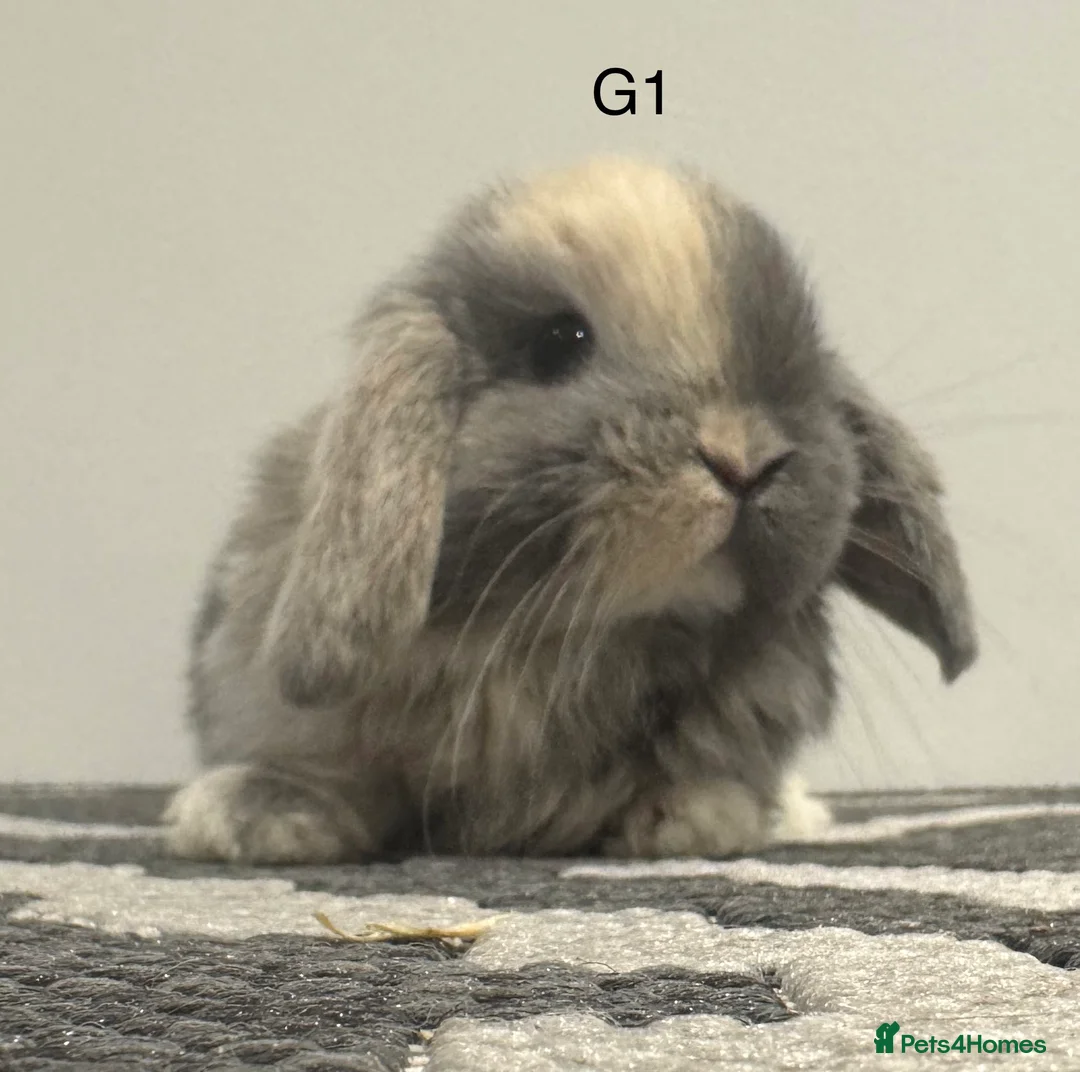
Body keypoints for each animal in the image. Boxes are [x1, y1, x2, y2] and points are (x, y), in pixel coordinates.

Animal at [165, 156, 977, 864]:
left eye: (801, 355)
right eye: (558, 342)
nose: (745, 460)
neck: (567, 636)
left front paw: (698, 817)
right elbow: (328, 769)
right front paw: (263, 816)